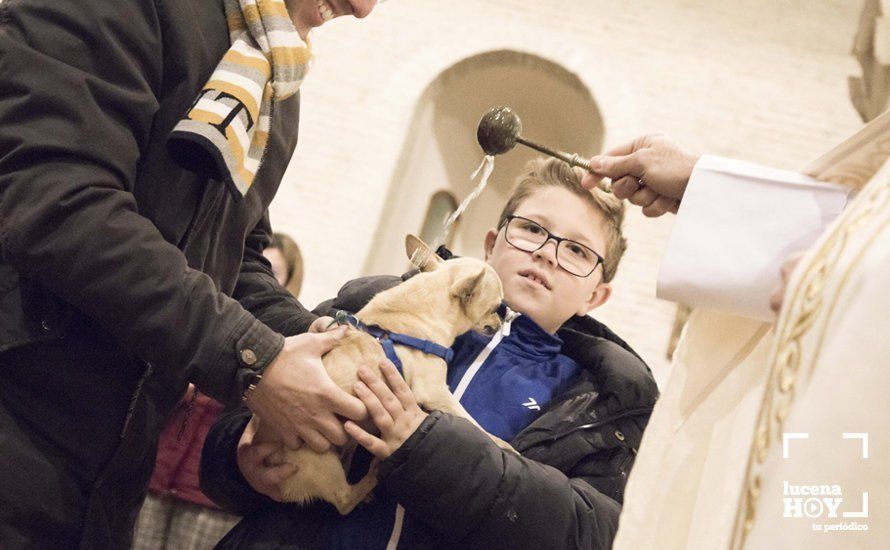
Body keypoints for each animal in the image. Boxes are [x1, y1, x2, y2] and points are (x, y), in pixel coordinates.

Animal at [253, 237, 510, 516]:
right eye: (496, 308)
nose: (505, 318)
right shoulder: (436, 392)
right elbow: (474, 423)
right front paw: (506, 446)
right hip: (318, 457)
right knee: (344, 499)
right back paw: (373, 474)